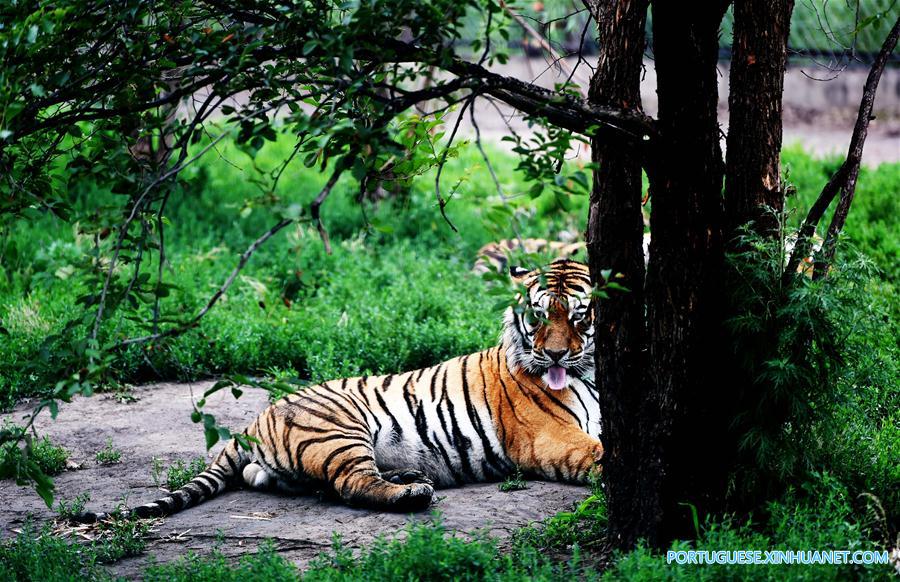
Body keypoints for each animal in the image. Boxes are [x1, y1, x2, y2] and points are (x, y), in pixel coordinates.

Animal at [75, 260, 596, 520]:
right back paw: (412, 494)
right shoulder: (550, 436)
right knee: (350, 484)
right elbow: (599, 453)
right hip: (337, 429)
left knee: (292, 481)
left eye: (578, 316)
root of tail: (253, 420)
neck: (589, 372)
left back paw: (407, 477)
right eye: (538, 316)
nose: (553, 356)